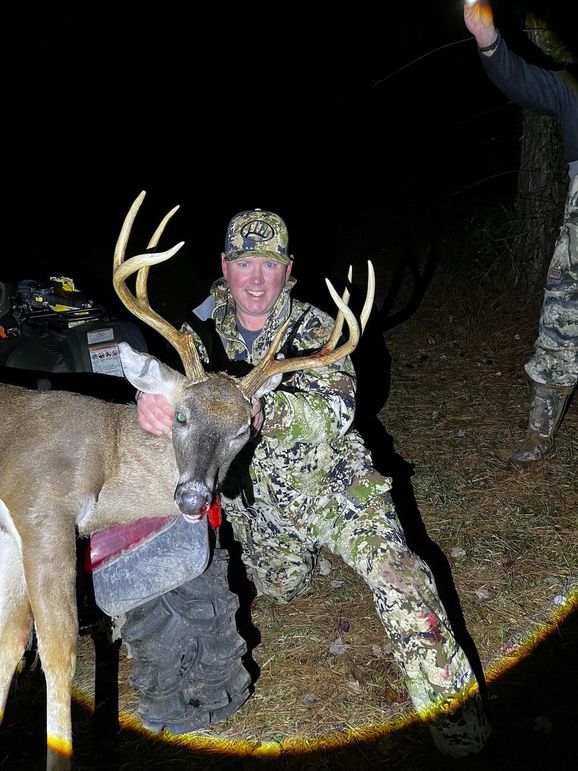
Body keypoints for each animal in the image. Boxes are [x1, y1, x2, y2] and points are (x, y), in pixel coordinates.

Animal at [0, 190, 375, 770]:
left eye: (244, 429)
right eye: (179, 416)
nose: (195, 496)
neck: (105, 457)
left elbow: (9, 650)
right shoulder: (39, 505)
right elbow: (57, 655)